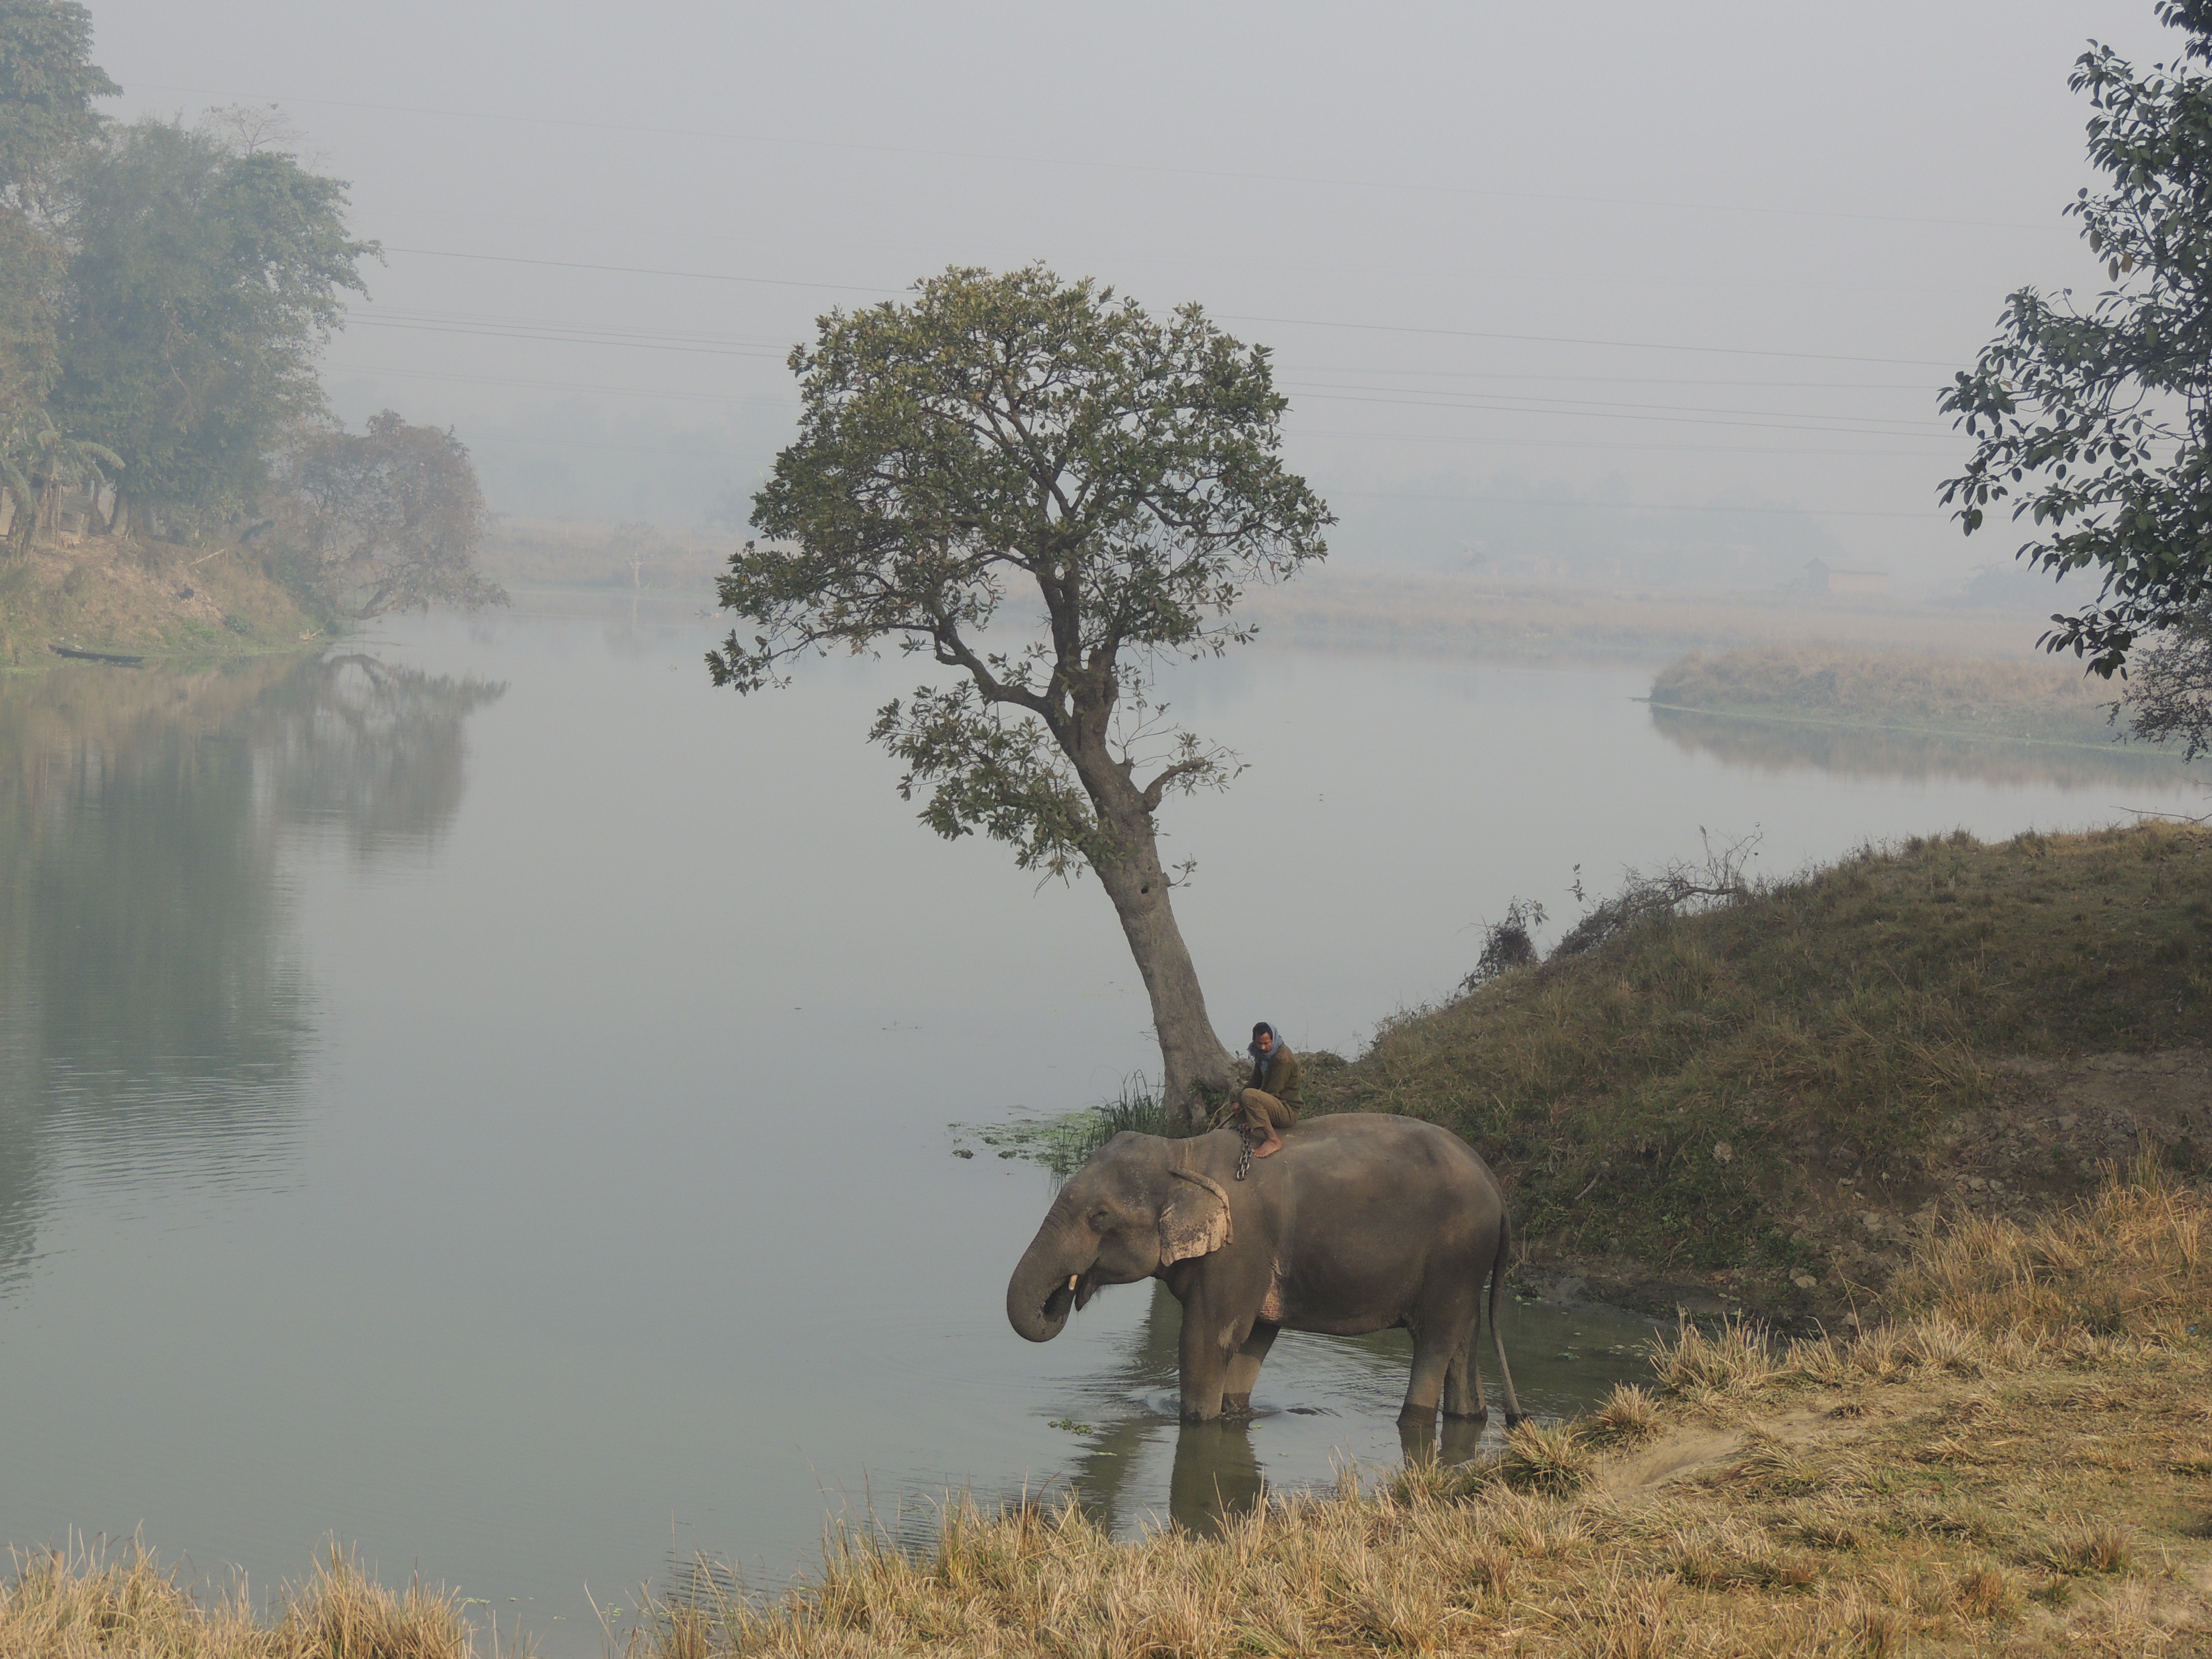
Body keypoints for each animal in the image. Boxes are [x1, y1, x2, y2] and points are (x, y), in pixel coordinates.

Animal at [1006, 1115, 1526, 1428]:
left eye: (1099, 1217)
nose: (1067, 1293)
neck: (1184, 1154)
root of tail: (1497, 1189)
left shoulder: (1239, 1252)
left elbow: (1206, 1341)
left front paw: (1196, 1421)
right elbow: (1254, 1339)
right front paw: (1235, 1416)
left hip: (1454, 1257)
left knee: (1434, 1343)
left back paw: (1411, 1421)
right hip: (1467, 1269)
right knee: (1462, 1343)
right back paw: (1472, 1418)